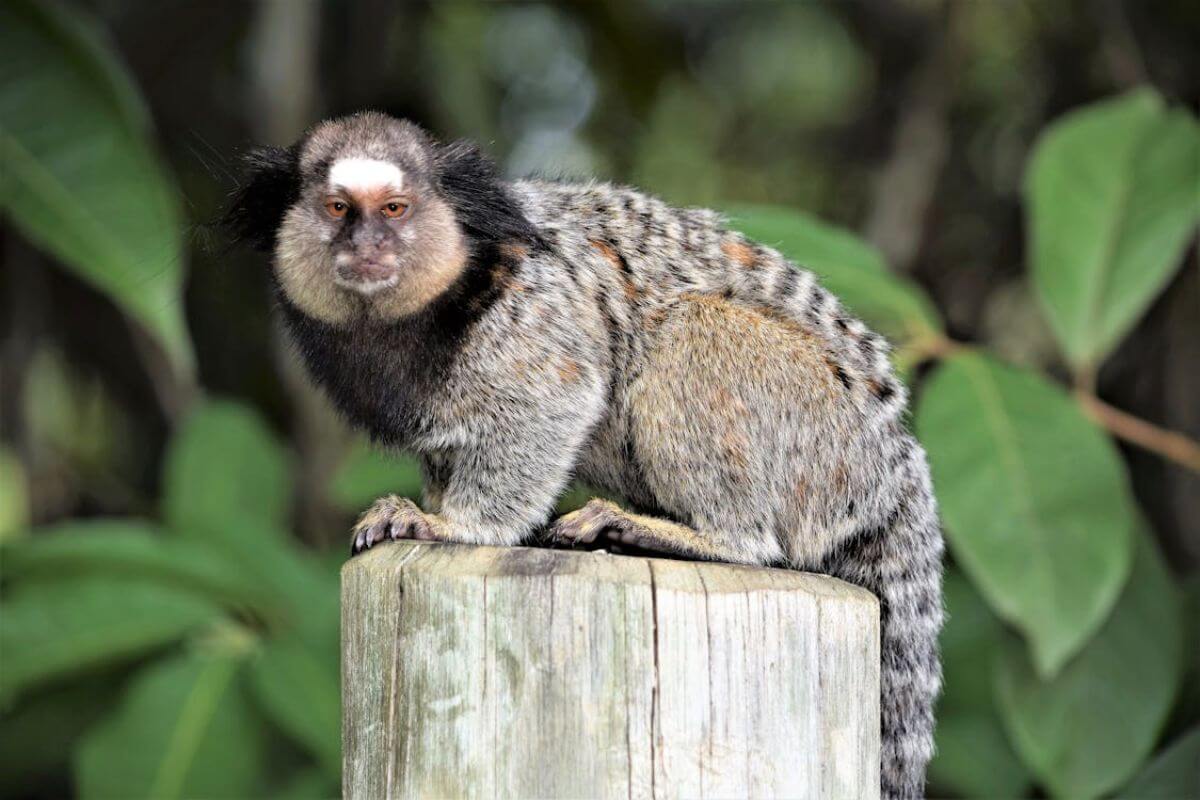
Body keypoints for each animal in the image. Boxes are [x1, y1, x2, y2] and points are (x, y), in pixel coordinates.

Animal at [225, 112, 936, 800]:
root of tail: (895, 459)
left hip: (817, 431)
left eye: (394, 209)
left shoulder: (531, 314)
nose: (367, 244)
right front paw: (425, 508)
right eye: (339, 208)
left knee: (696, 337)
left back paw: (698, 535)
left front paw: (455, 526)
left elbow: (554, 403)